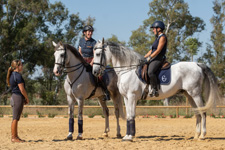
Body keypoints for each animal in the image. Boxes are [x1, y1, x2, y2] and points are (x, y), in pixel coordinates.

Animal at [92, 39, 222, 141]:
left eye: (98, 54)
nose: (95, 71)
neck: (128, 70)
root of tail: (197, 64)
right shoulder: (126, 97)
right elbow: (129, 115)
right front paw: (128, 136)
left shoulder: (132, 96)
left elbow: (132, 115)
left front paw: (130, 136)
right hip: (189, 95)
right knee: (197, 113)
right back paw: (196, 135)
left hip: (195, 94)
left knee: (203, 112)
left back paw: (203, 135)